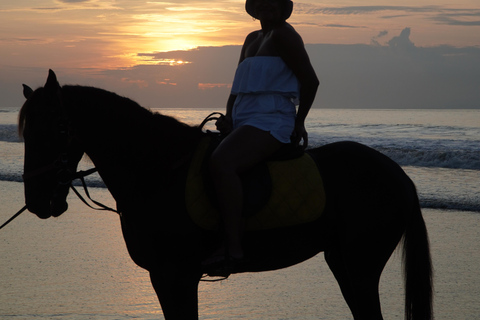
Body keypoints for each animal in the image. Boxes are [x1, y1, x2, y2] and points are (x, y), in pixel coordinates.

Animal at [18, 70, 434, 320]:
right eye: (26, 132)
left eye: (57, 129)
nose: (38, 201)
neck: (157, 170)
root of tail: (399, 176)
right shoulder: (163, 277)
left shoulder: (177, 275)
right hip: (343, 262)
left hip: (362, 267)